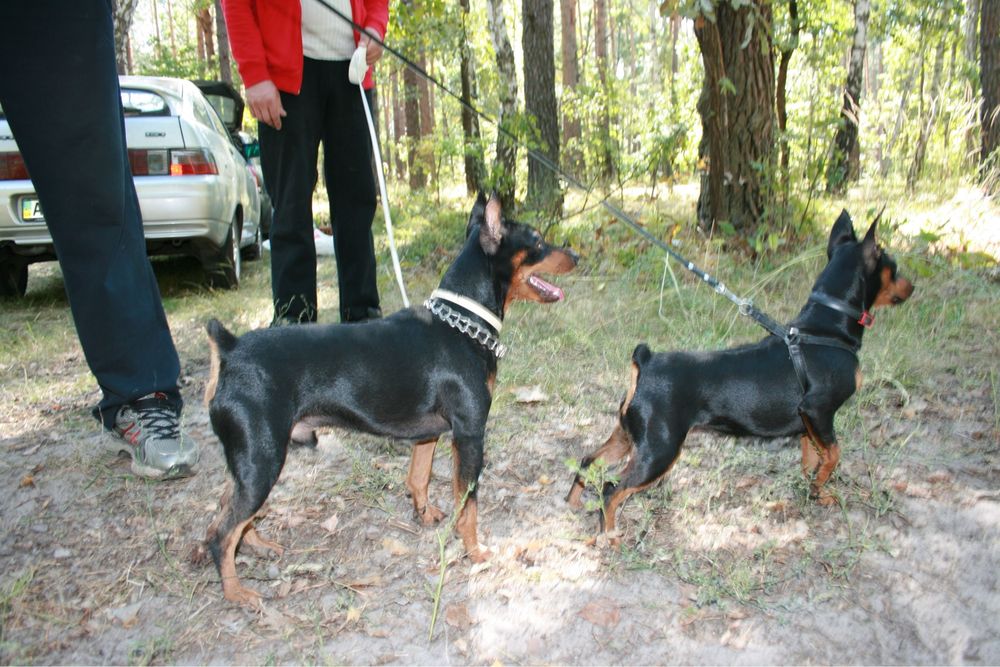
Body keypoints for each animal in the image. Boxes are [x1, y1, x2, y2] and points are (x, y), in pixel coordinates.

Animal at [201, 194, 580, 604]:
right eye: (538, 241)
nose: (576, 255)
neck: (461, 321)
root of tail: (231, 349)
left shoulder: (429, 435)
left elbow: (419, 478)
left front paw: (425, 515)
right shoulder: (470, 434)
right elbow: (468, 504)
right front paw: (475, 551)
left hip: (249, 460)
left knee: (227, 509)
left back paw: (257, 546)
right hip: (263, 458)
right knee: (222, 532)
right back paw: (236, 592)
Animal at [568, 211, 912, 540]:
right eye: (894, 268)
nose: (912, 286)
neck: (825, 329)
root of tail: (646, 361)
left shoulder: (809, 425)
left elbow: (811, 460)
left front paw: (816, 492)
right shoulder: (819, 410)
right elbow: (834, 454)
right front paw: (822, 484)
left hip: (627, 436)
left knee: (588, 461)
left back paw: (573, 505)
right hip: (659, 451)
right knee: (612, 489)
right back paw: (610, 535)